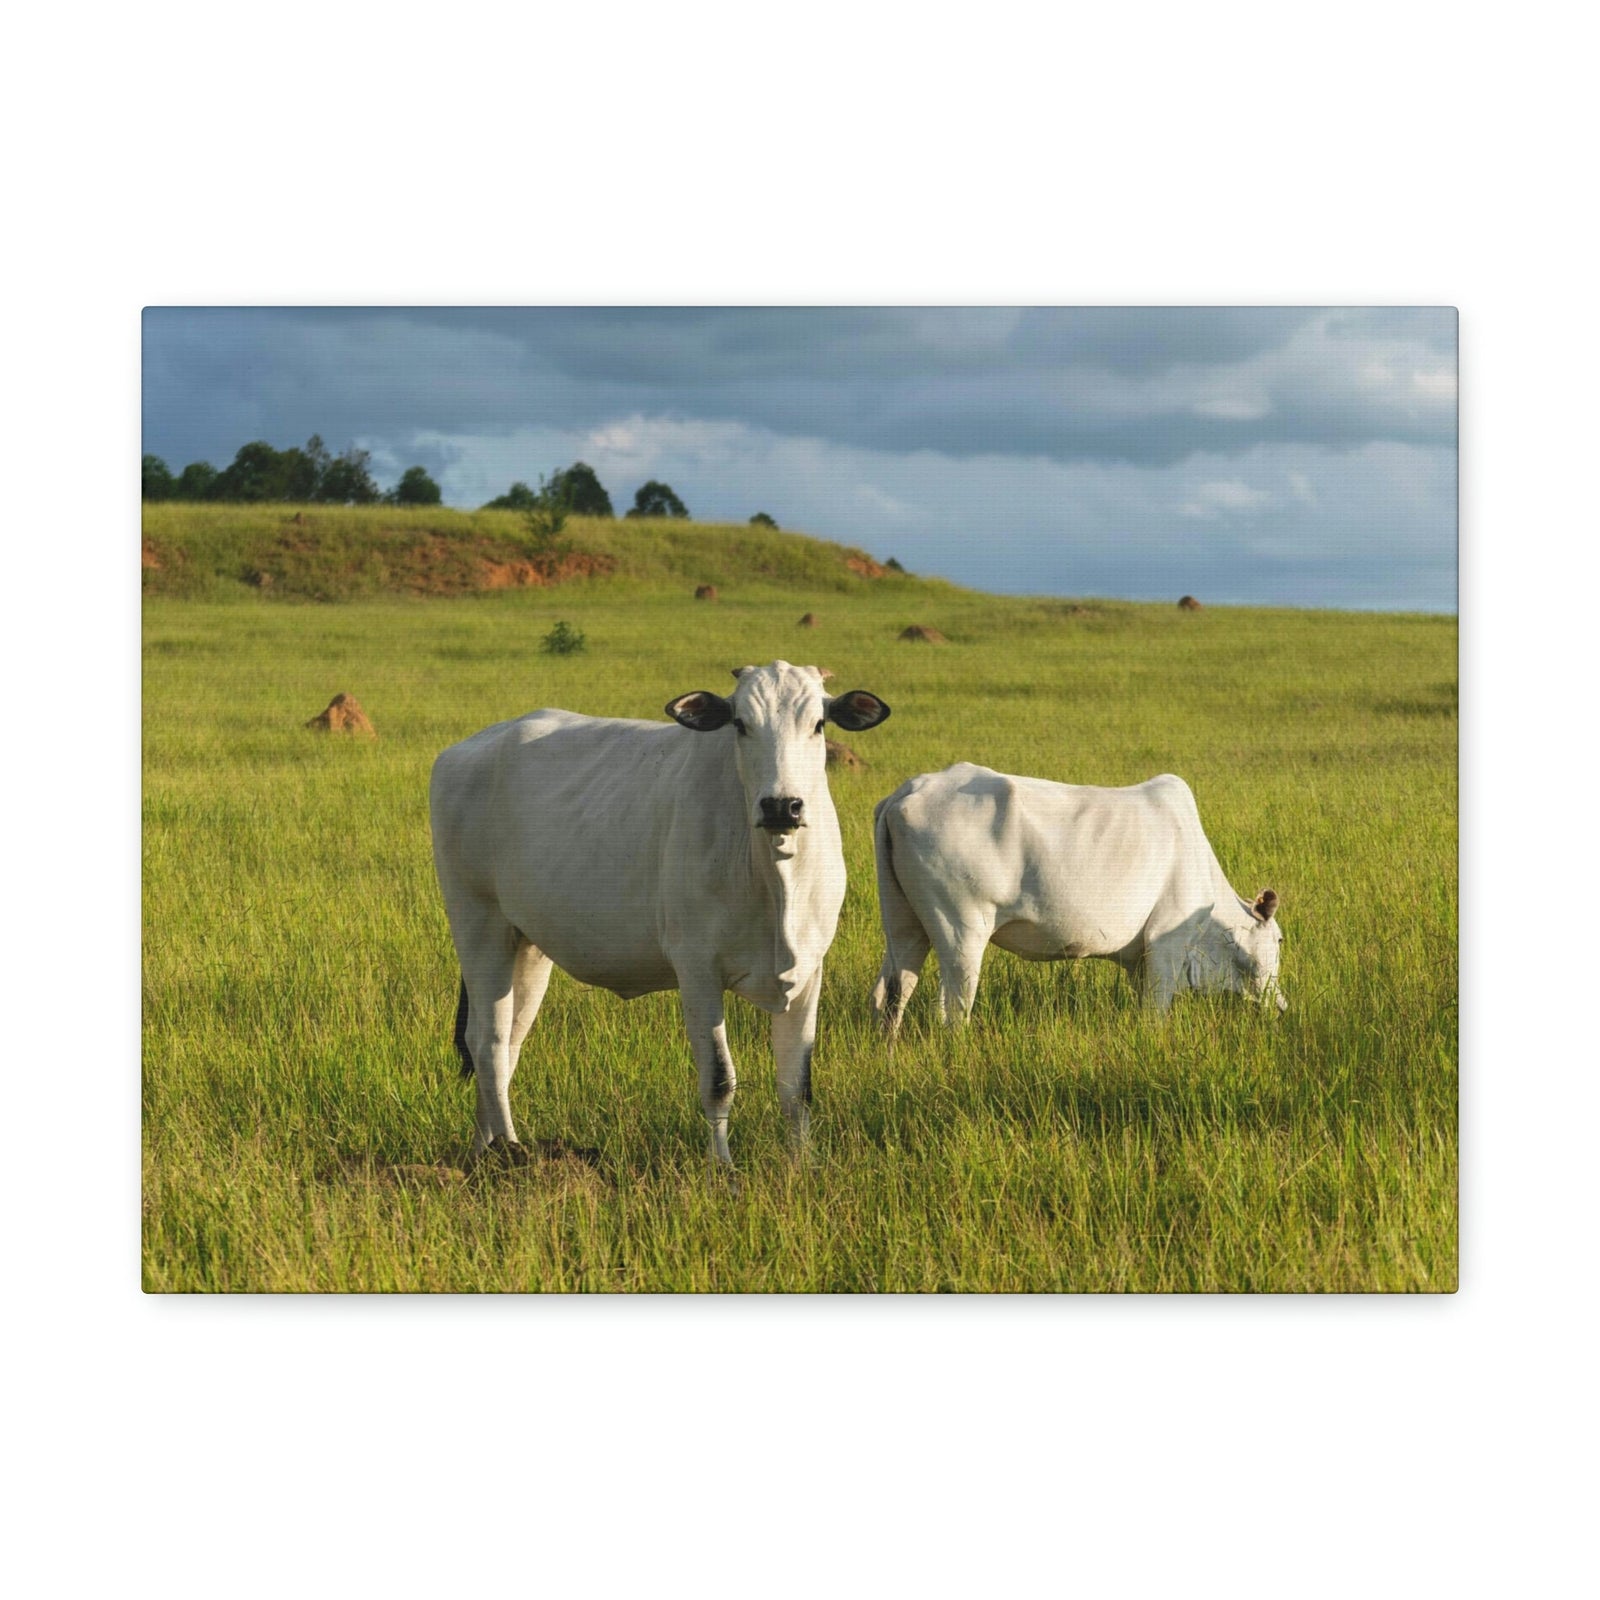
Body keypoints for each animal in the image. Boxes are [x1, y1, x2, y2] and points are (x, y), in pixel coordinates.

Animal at [429, 661, 891, 1168]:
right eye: (740, 723)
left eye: (819, 724)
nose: (781, 806)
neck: (775, 875)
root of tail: (468, 748)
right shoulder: (697, 970)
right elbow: (719, 1080)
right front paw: (722, 1169)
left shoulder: (809, 970)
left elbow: (797, 1086)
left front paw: (802, 1165)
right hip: (477, 924)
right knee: (487, 1044)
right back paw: (512, 1153)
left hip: (527, 944)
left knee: (506, 1043)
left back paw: (483, 1151)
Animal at [870, 765, 1284, 1035]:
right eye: (1280, 939)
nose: (1281, 1006)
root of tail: (906, 793)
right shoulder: (1167, 942)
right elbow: (1155, 1012)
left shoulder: (1140, 960)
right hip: (961, 929)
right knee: (953, 1009)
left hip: (904, 924)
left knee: (890, 993)